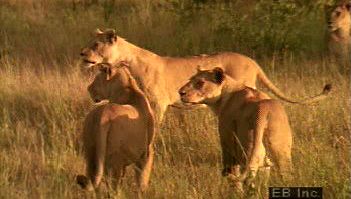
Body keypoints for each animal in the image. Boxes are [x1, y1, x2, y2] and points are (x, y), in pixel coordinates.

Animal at [77, 62, 155, 193]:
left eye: (96, 79)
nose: (88, 88)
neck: (128, 88)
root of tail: (103, 115)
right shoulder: (146, 153)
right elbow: (142, 180)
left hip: (91, 152)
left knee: (93, 179)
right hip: (115, 161)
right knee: (113, 187)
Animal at [179, 67, 332, 193]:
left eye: (200, 83)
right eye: (190, 79)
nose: (180, 92)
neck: (227, 94)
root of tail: (263, 110)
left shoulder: (227, 139)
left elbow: (232, 170)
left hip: (247, 149)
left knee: (248, 180)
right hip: (279, 152)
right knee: (283, 175)